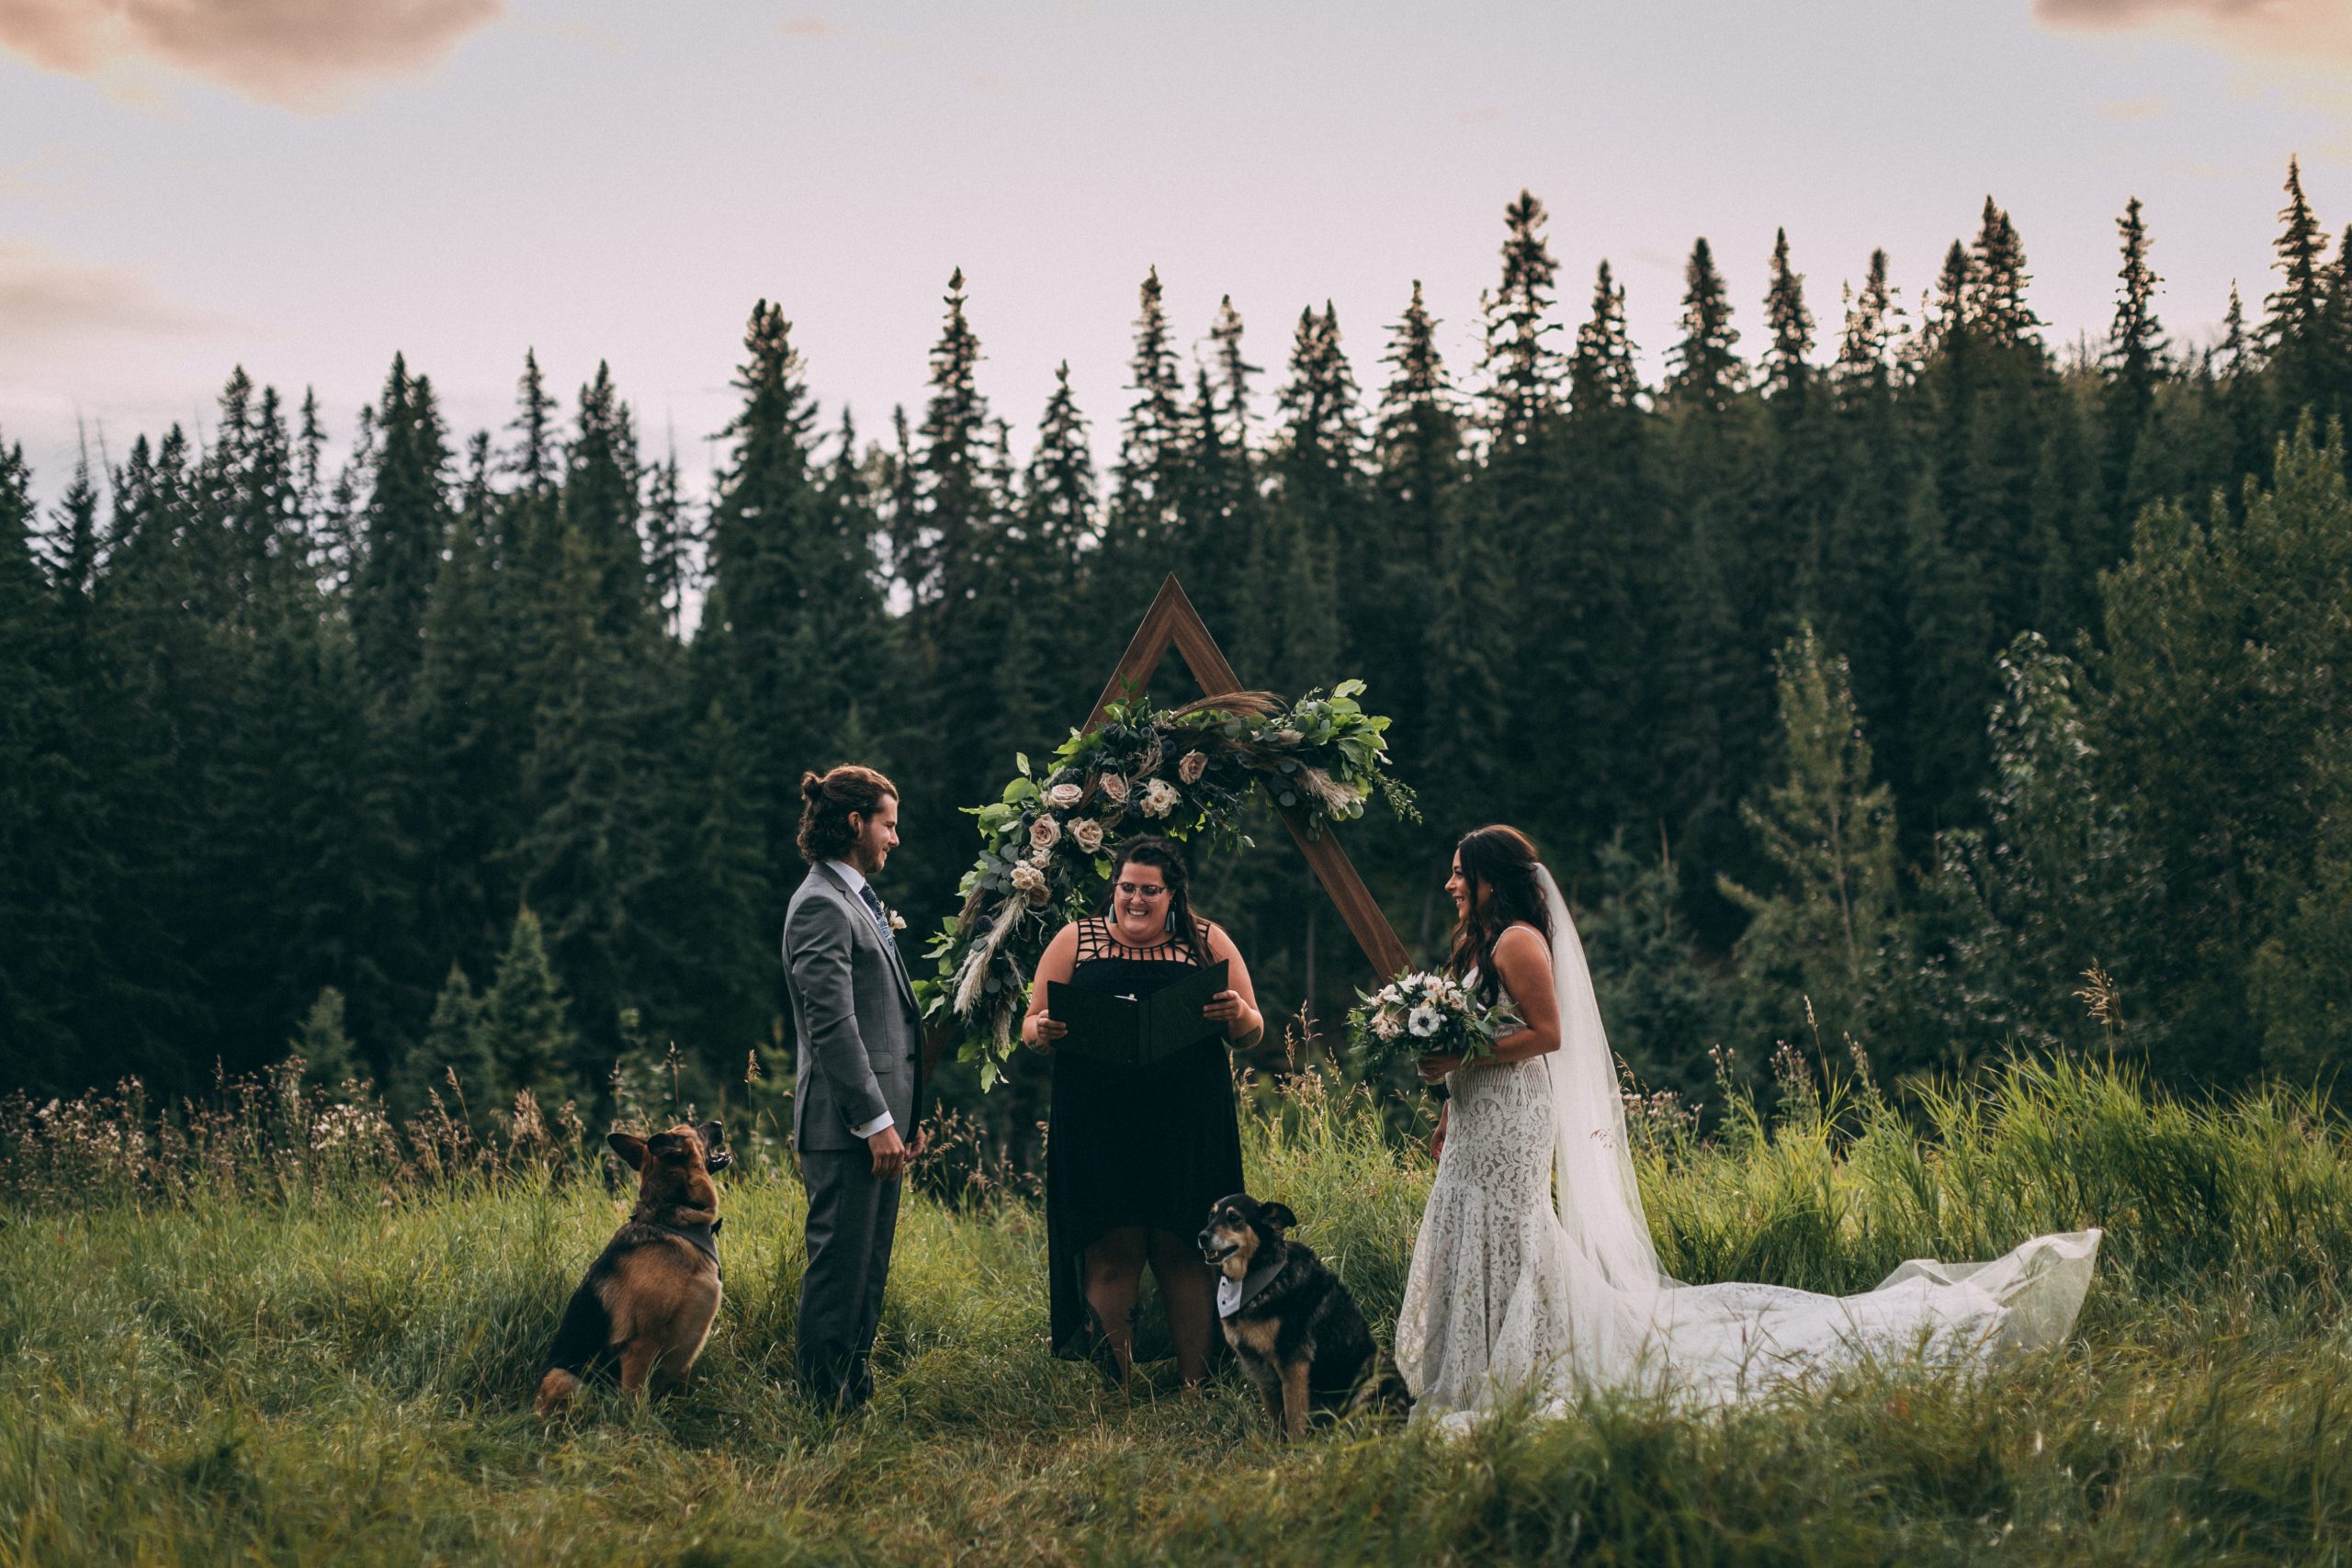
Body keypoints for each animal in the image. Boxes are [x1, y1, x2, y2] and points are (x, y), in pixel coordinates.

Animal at [538, 1123, 729, 1419]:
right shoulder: (641, 1344)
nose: (718, 1124)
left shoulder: (687, 1350)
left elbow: (680, 1395)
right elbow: (636, 1400)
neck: (673, 1222)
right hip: (564, 1377)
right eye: (694, 1129)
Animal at [1194, 1194, 1392, 1438]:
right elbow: (1275, 1415)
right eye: (1211, 1215)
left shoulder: (1293, 1364)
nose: (1202, 1237)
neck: (1257, 1277)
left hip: (1374, 1376)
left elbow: (1294, 1417)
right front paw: (1276, 1443)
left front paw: (1296, 1447)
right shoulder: (1260, 1367)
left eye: (1233, 1218)